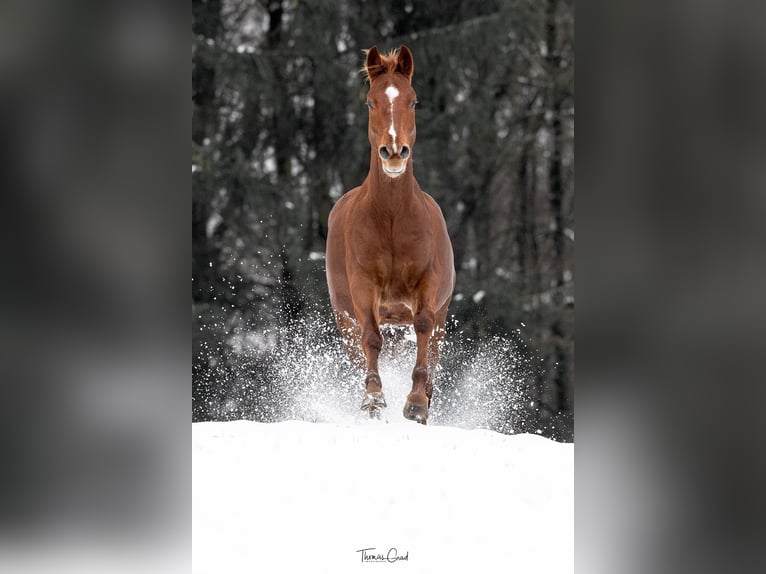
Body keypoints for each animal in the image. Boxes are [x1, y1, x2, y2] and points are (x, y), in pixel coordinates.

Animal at [326, 45, 456, 426]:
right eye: (371, 102)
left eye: (413, 101)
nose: (394, 152)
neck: (394, 218)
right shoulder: (363, 288)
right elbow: (371, 339)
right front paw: (373, 399)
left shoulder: (428, 288)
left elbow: (423, 328)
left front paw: (416, 403)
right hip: (344, 317)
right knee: (359, 348)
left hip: (440, 314)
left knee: (432, 347)